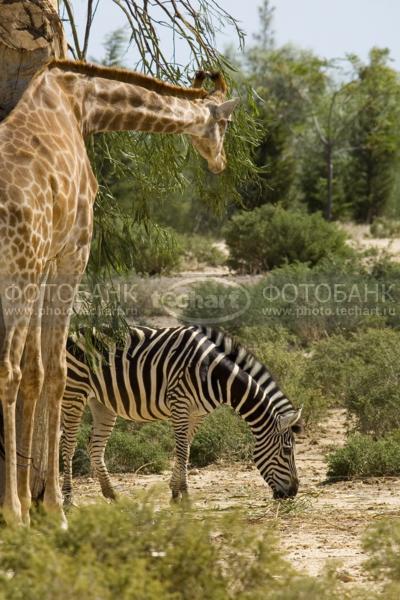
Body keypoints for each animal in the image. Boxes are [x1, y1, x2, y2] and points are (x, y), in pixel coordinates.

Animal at [0, 59, 238, 524]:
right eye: (226, 123)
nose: (221, 163)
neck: (80, 104)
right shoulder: (73, 250)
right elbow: (54, 372)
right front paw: (51, 511)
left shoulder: (46, 259)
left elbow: (36, 372)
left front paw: (35, 505)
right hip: (16, 275)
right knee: (6, 371)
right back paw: (11, 514)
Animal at [61, 326, 302, 504]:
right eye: (287, 450)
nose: (293, 493)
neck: (214, 375)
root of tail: (70, 333)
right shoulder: (180, 404)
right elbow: (183, 451)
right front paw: (184, 496)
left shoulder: (198, 413)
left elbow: (184, 448)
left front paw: (175, 493)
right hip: (74, 393)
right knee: (68, 444)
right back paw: (68, 500)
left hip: (102, 402)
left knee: (95, 445)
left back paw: (112, 495)